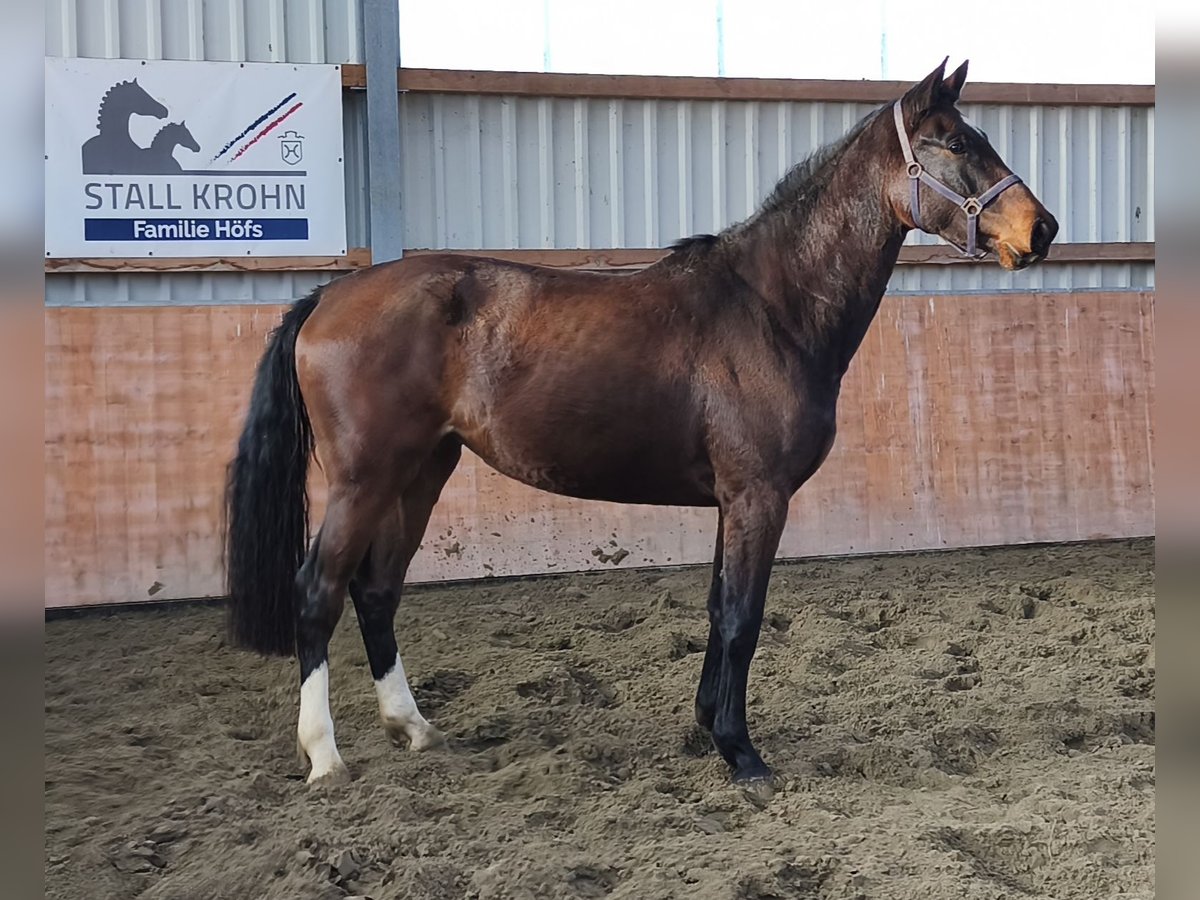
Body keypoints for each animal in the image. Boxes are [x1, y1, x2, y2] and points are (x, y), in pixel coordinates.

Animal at [224, 59, 1058, 789]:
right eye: (955, 144)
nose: (1042, 229)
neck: (771, 307)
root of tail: (328, 298)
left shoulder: (732, 501)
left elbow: (718, 608)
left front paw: (707, 728)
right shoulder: (759, 497)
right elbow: (743, 618)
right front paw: (742, 754)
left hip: (421, 472)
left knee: (377, 591)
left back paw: (415, 727)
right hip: (364, 480)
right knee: (319, 591)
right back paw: (325, 757)